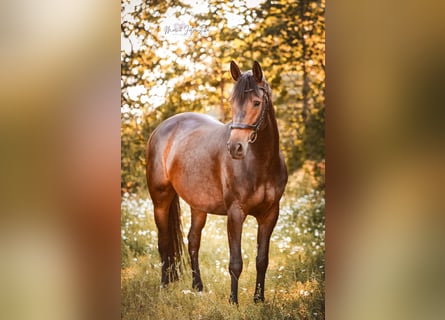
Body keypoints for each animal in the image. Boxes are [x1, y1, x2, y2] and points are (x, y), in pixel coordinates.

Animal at [144, 60, 286, 304]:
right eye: (231, 102)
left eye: (257, 102)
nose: (235, 147)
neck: (261, 163)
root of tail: (161, 129)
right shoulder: (235, 213)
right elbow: (236, 262)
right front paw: (233, 302)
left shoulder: (270, 214)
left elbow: (262, 260)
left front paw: (259, 299)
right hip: (160, 200)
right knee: (164, 242)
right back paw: (164, 285)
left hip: (198, 206)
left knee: (193, 241)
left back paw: (197, 287)